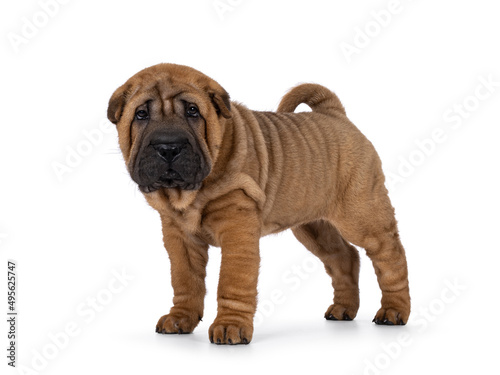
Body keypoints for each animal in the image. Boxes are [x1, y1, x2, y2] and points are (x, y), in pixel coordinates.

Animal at [107, 63, 408, 346]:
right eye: (141, 115)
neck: (189, 194)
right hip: (313, 227)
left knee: (390, 255)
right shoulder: (179, 237)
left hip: (362, 215)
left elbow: (232, 282)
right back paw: (343, 309)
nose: (168, 147)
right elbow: (185, 280)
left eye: (193, 111)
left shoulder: (237, 232)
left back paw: (394, 311)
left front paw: (230, 326)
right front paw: (180, 318)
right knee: (344, 256)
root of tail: (335, 114)